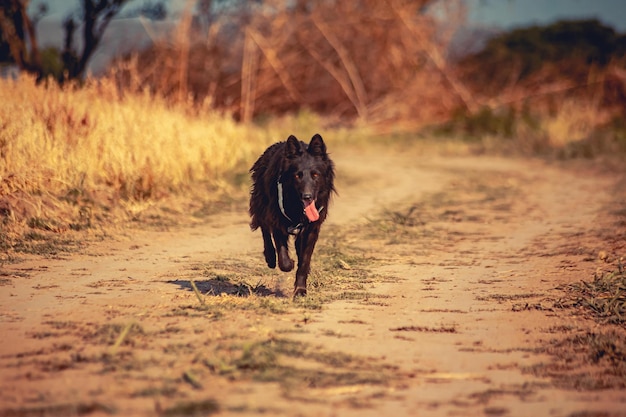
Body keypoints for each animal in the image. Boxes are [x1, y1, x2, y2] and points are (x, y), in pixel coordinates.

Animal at [250, 133, 336, 296]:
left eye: (315, 174)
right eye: (297, 176)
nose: (307, 197)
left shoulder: (312, 230)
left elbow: (304, 261)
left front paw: (300, 290)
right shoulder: (277, 220)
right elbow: (283, 259)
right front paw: (289, 263)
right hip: (261, 203)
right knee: (264, 229)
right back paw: (270, 258)